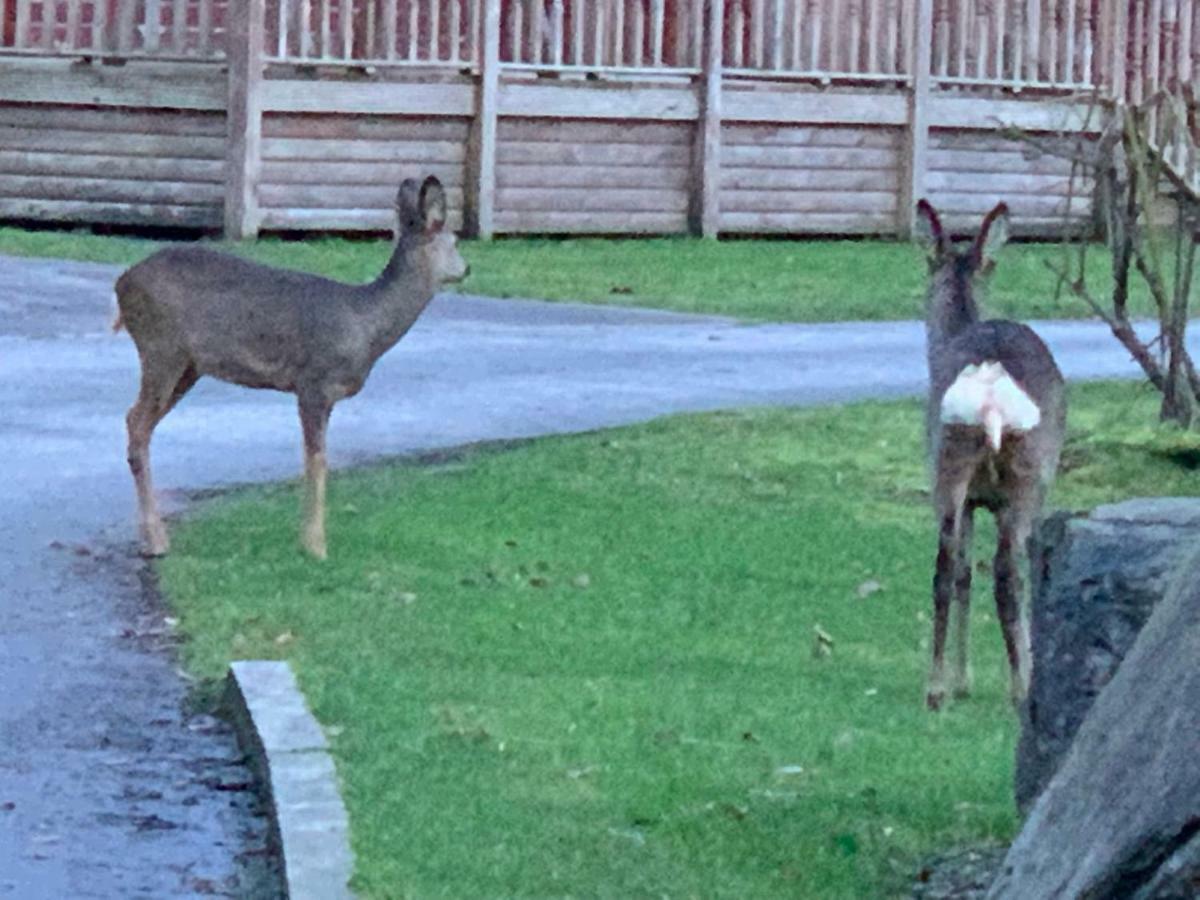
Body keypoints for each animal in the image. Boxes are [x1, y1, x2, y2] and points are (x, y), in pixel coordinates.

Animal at [113, 174, 468, 556]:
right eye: (454, 241)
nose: (467, 268)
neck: (365, 324)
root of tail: (122, 283)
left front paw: (308, 539)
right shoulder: (313, 382)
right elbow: (317, 461)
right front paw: (316, 545)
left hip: (189, 366)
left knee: (139, 422)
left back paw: (148, 533)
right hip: (161, 346)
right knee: (137, 421)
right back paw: (156, 539)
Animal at [916, 200, 1070, 715]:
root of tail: (989, 399)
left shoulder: (970, 498)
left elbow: (964, 573)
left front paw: (962, 681)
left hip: (947, 462)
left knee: (945, 568)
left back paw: (935, 688)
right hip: (1028, 472)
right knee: (1007, 572)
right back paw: (1021, 688)